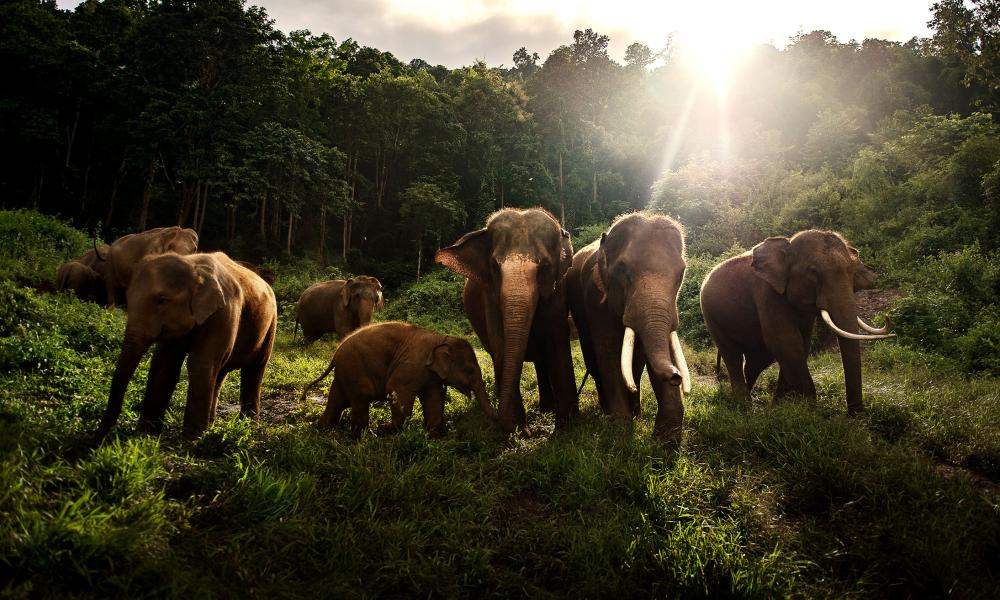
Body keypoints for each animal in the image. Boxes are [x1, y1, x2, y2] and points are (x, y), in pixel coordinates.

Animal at [94, 252, 278, 440]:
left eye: (162, 300)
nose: (97, 438)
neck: (193, 265)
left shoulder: (224, 312)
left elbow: (200, 364)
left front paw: (191, 440)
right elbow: (164, 364)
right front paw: (146, 434)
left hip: (271, 324)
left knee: (254, 369)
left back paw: (248, 427)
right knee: (219, 371)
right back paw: (211, 425)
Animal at [300, 322, 496, 438]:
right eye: (470, 370)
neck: (442, 338)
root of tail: (336, 353)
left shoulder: (430, 376)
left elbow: (434, 399)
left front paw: (433, 434)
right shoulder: (412, 366)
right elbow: (397, 389)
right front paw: (387, 429)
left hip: (344, 373)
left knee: (337, 400)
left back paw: (322, 428)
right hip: (354, 368)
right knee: (360, 399)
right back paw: (365, 436)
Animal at [436, 209, 580, 434]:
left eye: (544, 267)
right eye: (495, 267)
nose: (502, 423)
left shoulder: (557, 295)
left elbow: (558, 346)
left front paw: (565, 430)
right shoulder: (490, 298)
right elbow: (501, 346)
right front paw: (520, 431)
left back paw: (546, 410)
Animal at [568, 212, 692, 446]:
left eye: (681, 273)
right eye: (622, 270)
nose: (676, 376)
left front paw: (666, 445)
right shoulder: (595, 300)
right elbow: (609, 355)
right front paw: (619, 439)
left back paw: (636, 412)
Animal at [700, 227, 896, 414]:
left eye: (853, 273)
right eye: (813, 273)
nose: (855, 414)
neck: (788, 243)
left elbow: (802, 343)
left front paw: (781, 407)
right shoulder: (767, 292)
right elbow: (786, 342)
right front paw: (809, 410)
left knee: (759, 359)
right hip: (711, 315)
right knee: (732, 354)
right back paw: (743, 405)